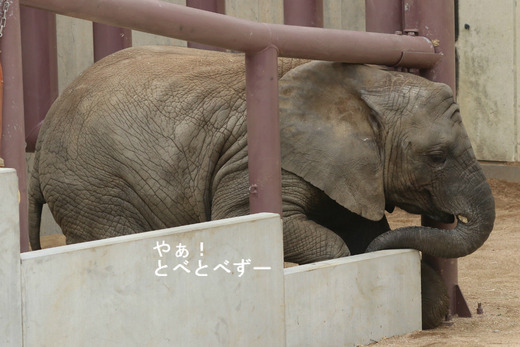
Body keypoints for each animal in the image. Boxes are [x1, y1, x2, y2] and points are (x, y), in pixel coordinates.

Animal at [29, 45, 496, 328]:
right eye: (437, 156)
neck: (367, 85)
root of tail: (46, 123)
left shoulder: (342, 167)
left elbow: (361, 229)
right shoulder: (258, 157)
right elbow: (272, 225)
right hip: (94, 184)